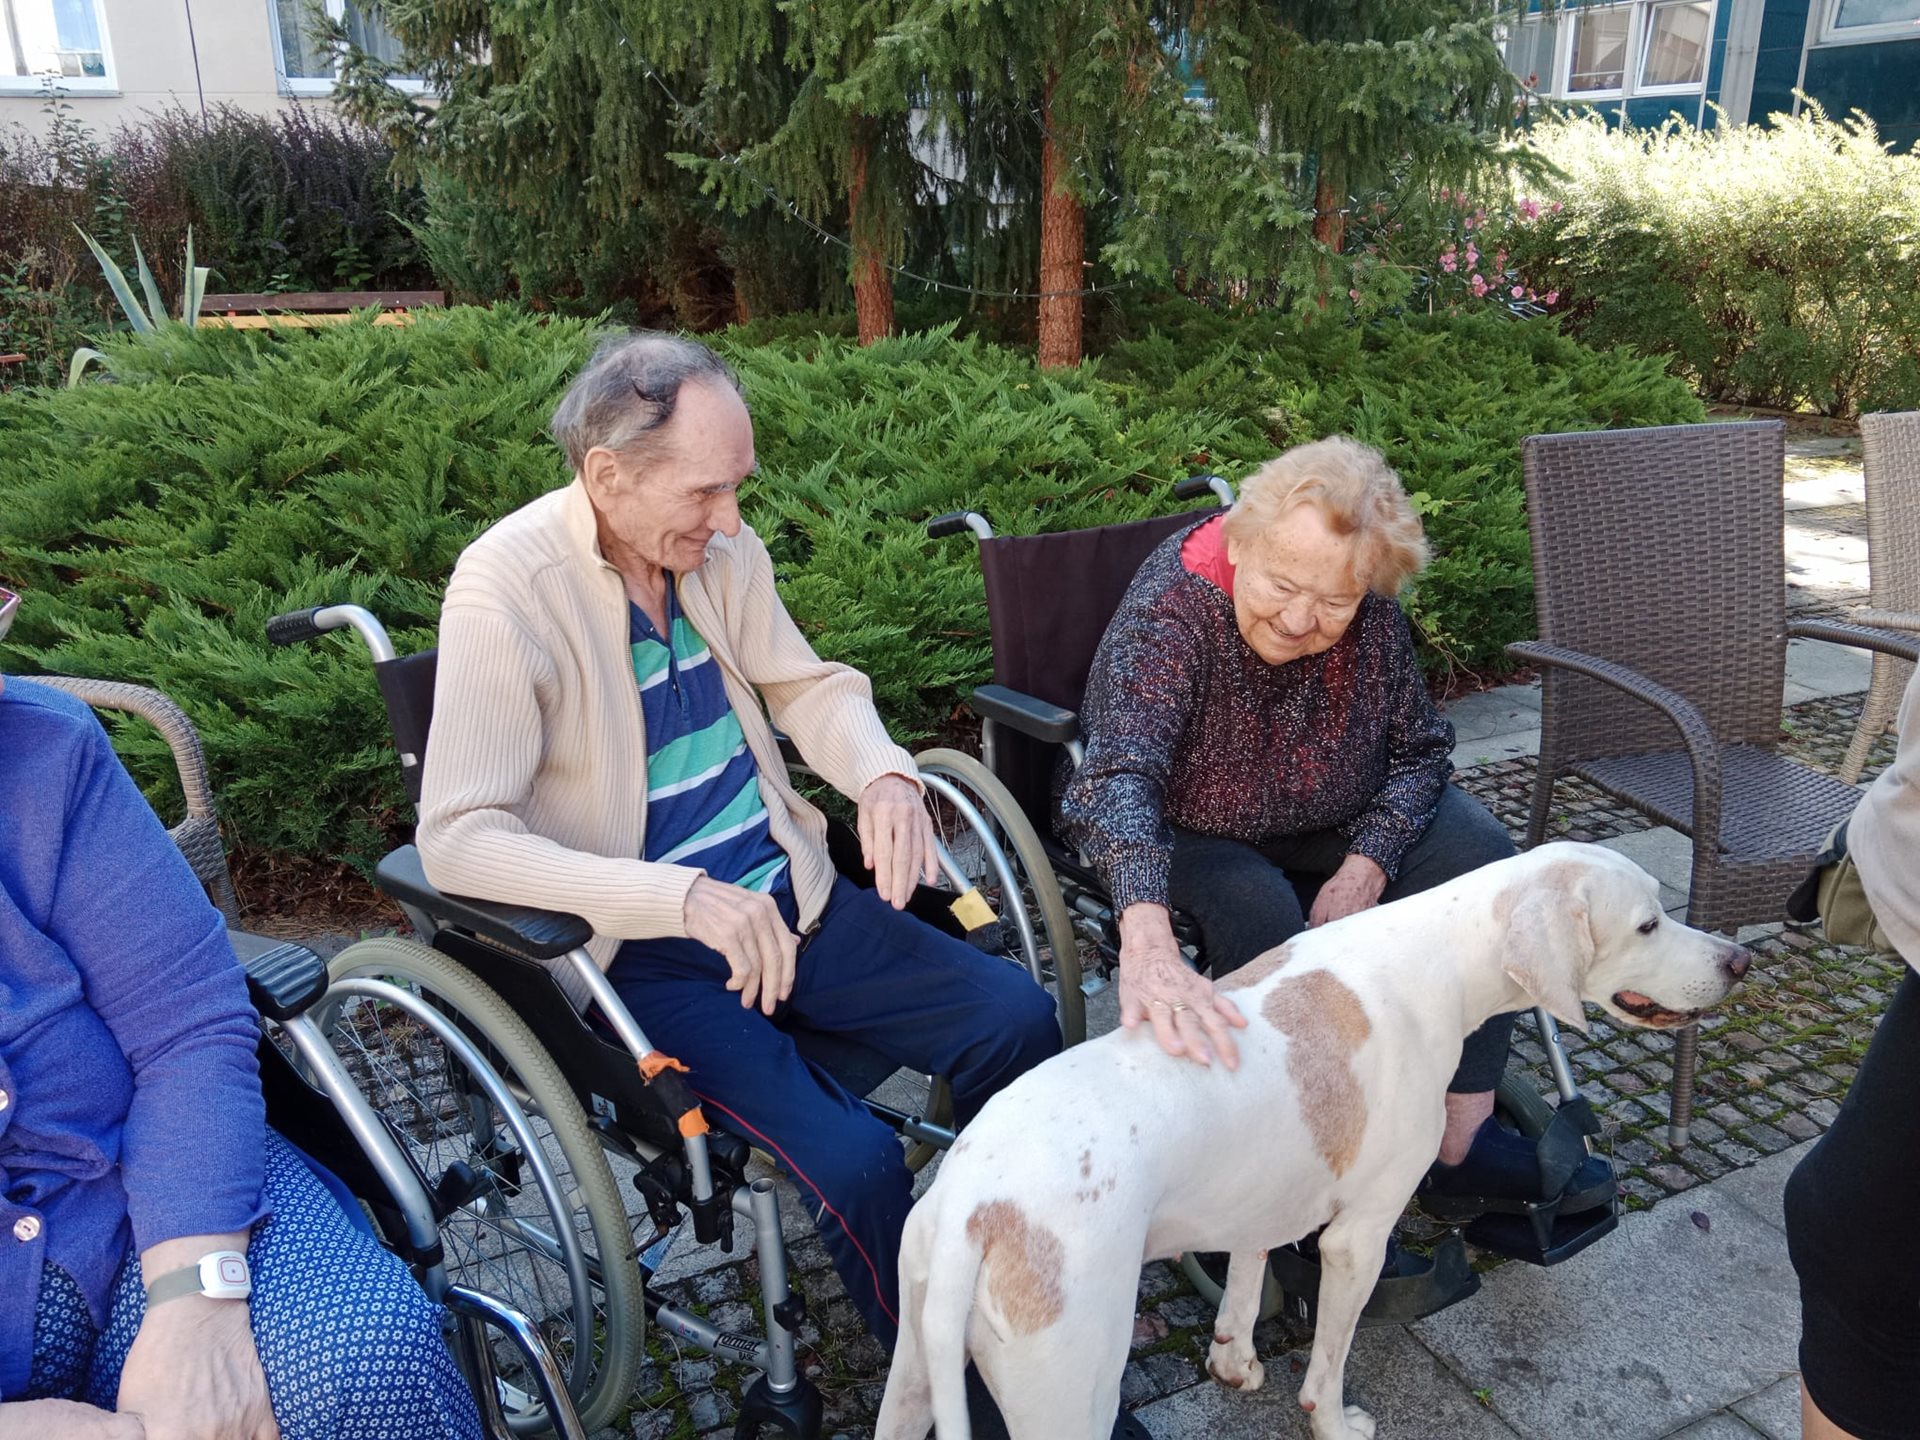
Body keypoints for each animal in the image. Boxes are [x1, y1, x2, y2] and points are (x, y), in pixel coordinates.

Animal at [874, 842, 1751, 1440]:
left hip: (913, 1376)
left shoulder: (1261, 1194)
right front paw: (1331, 1421)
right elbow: (1329, 1357)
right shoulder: (1358, 1240)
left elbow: (1245, 1278)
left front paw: (1234, 1360)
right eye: (1648, 923)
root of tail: (974, 1211)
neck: (1438, 958)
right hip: (1068, 1394)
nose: (1739, 959)